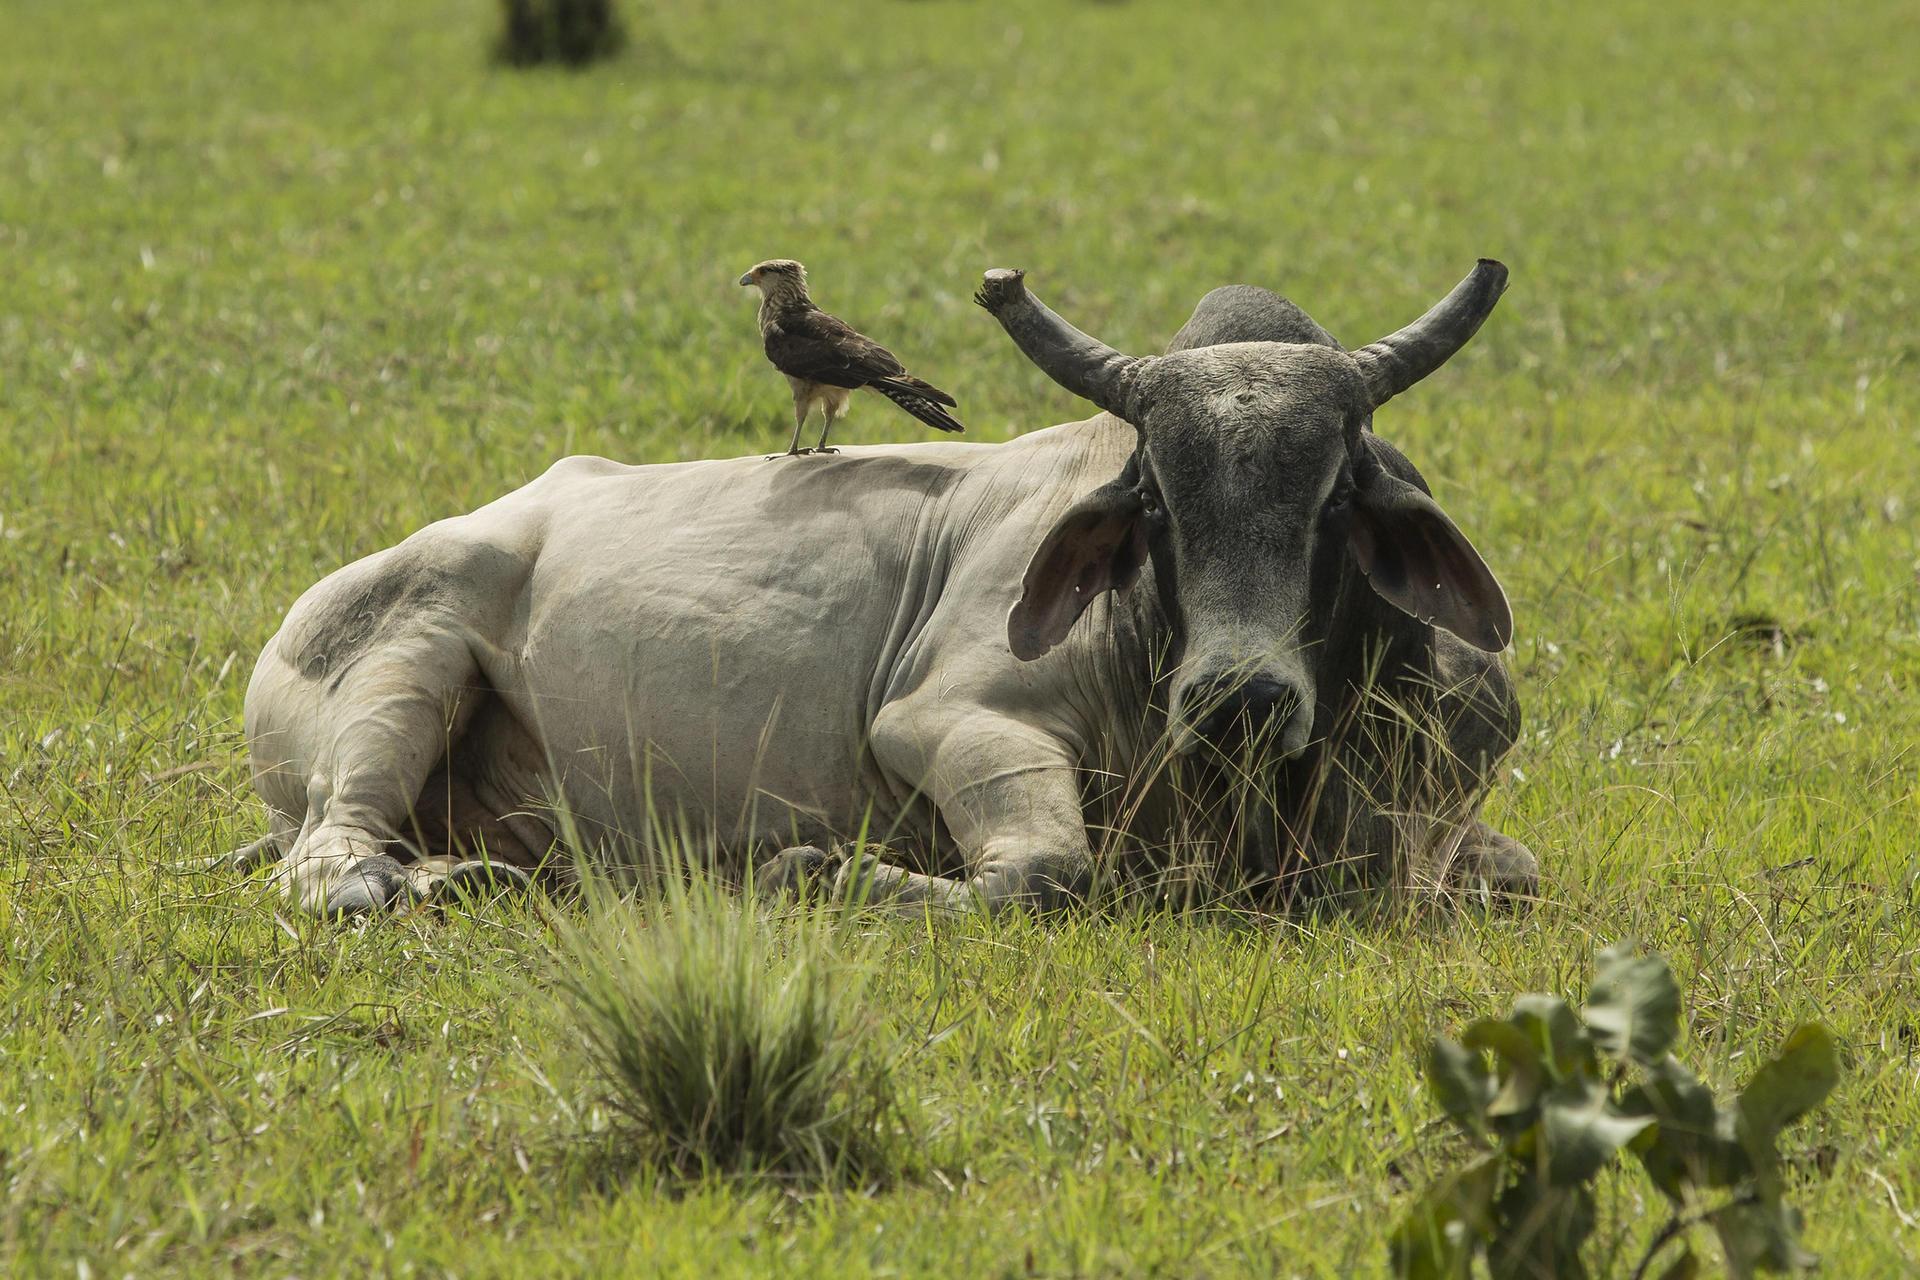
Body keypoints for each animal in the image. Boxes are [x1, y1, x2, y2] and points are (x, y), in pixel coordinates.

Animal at [240, 264, 1536, 917]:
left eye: (1336, 499)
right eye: (1158, 501)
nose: (1238, 698)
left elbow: (1513, 874)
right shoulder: (949, 718)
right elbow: (1046, 870)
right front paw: (827, 871)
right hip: (404, 656)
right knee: (329, 852)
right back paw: (414, 885)